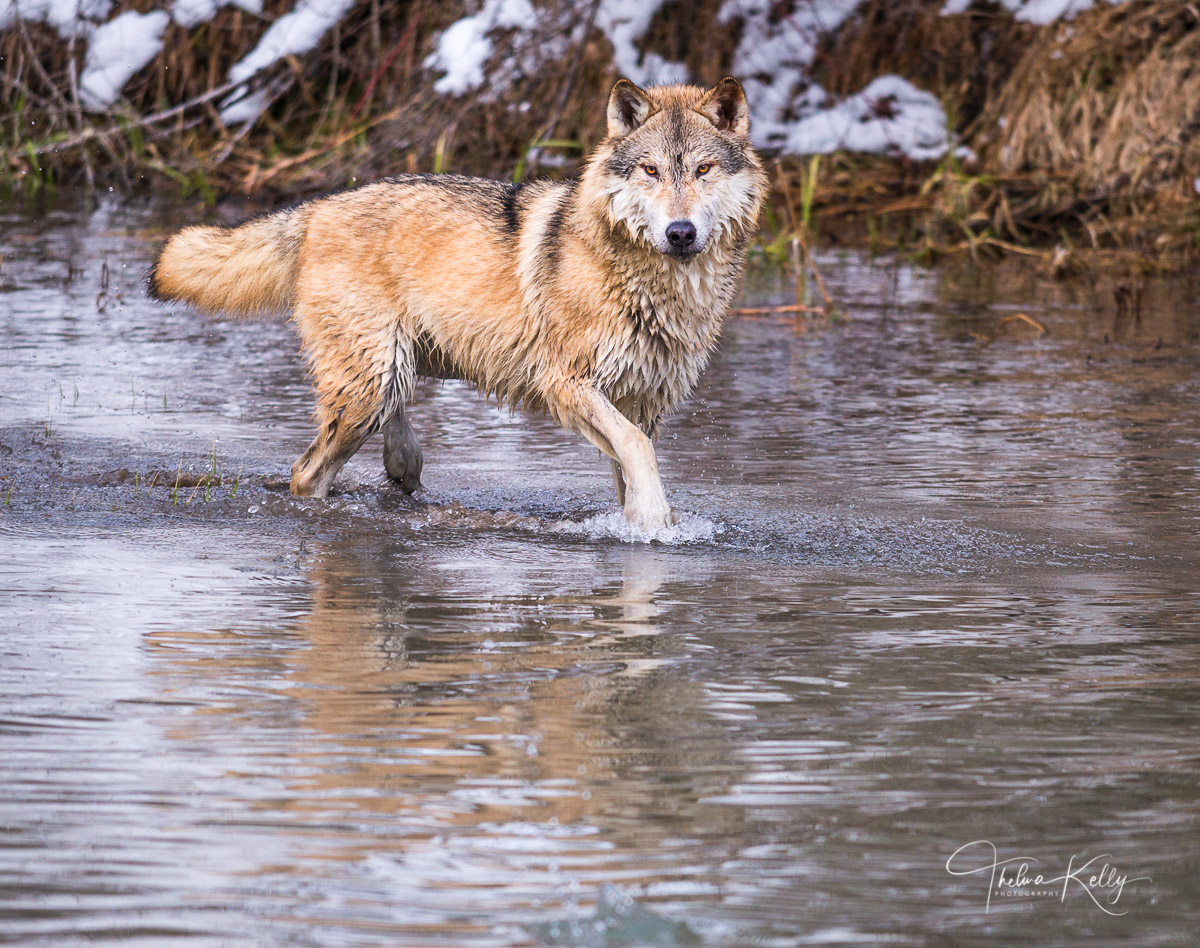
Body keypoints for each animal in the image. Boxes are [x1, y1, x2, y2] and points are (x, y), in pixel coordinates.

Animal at [150, 78, 768, 530]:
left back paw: (402, 467)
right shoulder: (566, 384)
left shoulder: (644, 402)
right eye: (651, 170)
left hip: (392, 373)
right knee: (306, 475)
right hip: (366, 389)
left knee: (389, 444)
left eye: (703, 170)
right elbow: (639, 453)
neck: (655, 285)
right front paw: (655, 523)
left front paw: (640, 522)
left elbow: (631, 467)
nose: (681, 232)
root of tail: (316, 207)